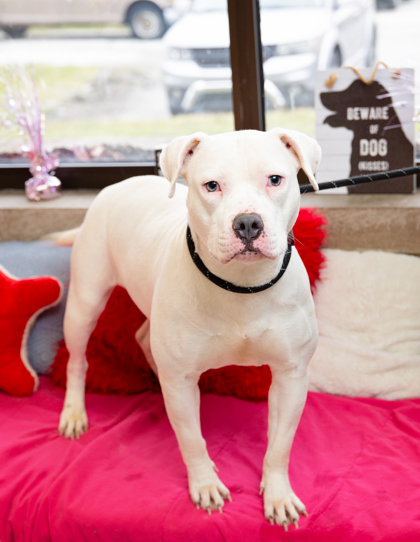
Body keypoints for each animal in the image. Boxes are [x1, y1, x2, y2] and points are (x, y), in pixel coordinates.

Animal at [58, 127, 321, 529]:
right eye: (211, 185)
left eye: (275, 179)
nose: (248, 222)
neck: (241, 285)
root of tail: (118, 184)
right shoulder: (181, 381)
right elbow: (192, 440)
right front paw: (205, 484)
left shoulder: (291, 376)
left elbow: (280, 445)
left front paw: (278, 495)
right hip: (85, 303)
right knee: (77, 359)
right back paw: (73, 412)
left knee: (143, 339)